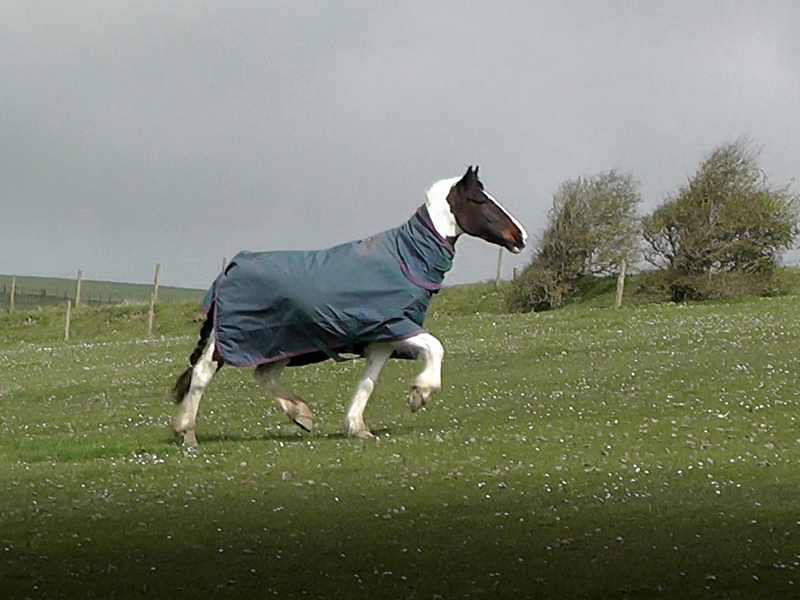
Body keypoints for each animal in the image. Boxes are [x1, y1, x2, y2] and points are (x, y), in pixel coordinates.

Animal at [171, 166, 526, 446]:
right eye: (480, 200)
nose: (519, 236)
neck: (404, 259)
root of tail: (232, 267)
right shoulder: (395, 325)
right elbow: (435, 347)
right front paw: (420, 394)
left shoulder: (384, 340)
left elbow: (368, 381)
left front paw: (357, 426)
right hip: (231, 342)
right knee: (201, 375)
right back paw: (186, 432)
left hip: (280, 342)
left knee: (264, 374)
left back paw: (301, 414)